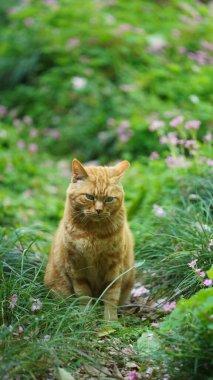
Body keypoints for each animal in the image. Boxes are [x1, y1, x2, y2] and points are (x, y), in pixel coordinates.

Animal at [44, 159, 135, 320]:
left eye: (109, 199)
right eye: (89, 197)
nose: (98, 210)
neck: (93, 234)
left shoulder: (114, 266)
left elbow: (111, 296)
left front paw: (110, 321)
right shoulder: (76, 266)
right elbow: (84, 295)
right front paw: (86, 317)